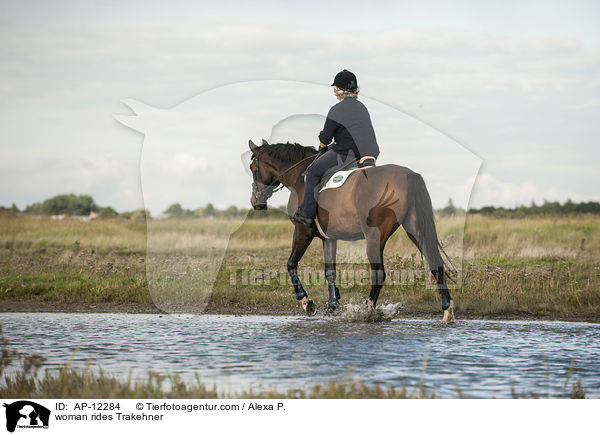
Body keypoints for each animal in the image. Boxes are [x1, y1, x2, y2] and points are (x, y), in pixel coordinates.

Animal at [248, 140, 454, 324]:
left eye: (252, 167)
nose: (255, 202)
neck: (299, 176)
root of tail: (408, 175)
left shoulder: (302, 231)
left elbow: (291, 264)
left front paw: (307, 302)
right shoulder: (329, 238)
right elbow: (330, 271)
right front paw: (332, 305)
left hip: (374, 236)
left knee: (378, 274)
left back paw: (366, 311)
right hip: (414, 229)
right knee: (435, 264)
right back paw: (447, 310)